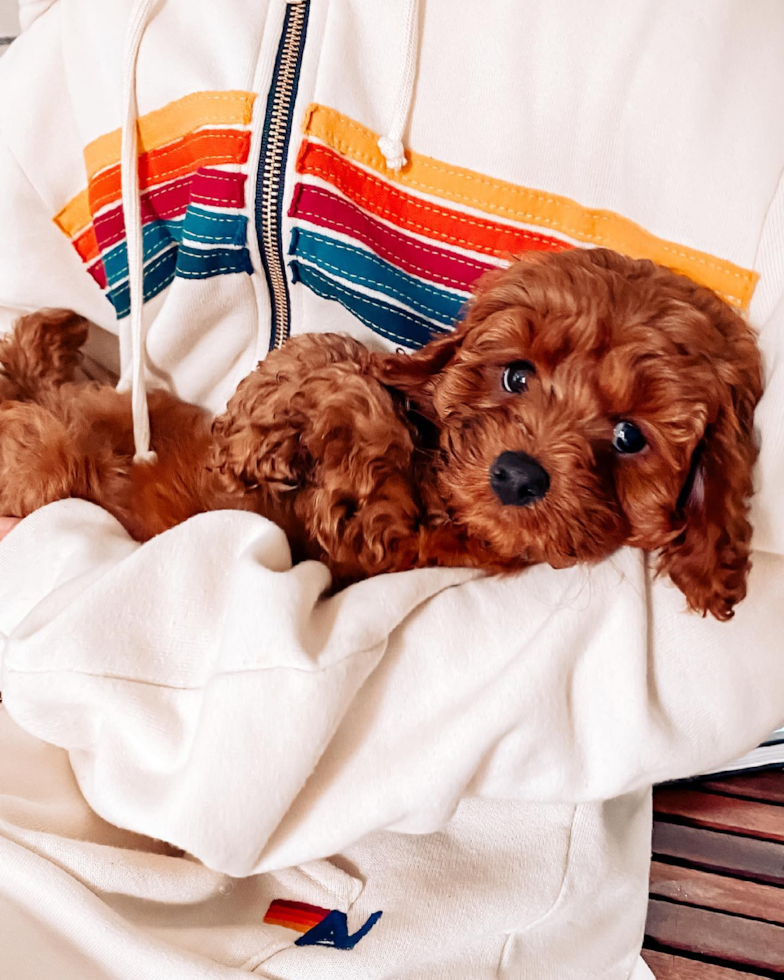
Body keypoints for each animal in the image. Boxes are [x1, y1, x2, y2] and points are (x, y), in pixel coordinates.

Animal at [0, 249, 760, 616]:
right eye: (516, 375)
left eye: (631, 437)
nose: (517, 475)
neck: (437, 476)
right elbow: (332, 356)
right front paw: (258, 430)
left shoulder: (376, 540)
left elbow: (365, 452)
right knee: (32, 384)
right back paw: (53, 333)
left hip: (49, 467)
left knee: (38, 444)